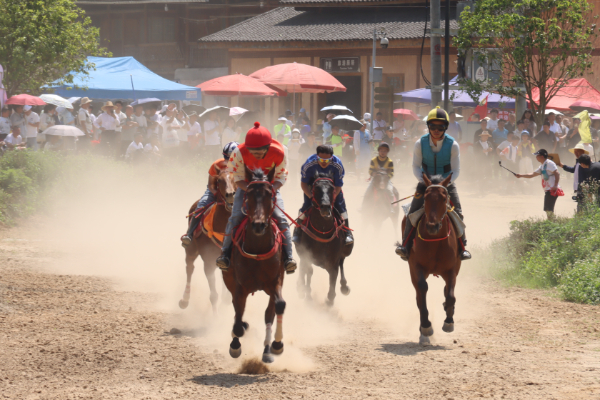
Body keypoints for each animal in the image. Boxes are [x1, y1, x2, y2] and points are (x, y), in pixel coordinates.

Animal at [178, 169, 236, 312]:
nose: (230, 195)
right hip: (191, 250)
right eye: (219, 180)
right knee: (189, 268)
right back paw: (184, 300)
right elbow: (213, 296)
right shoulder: (208, 263)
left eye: (235, 179)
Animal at [222, 168, 287, 364]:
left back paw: (267, 350)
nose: (259, 225)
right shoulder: (240, 286)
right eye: (249, 195)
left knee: (268, 314)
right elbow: (238, 316)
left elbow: (278, 306)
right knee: (237, 311)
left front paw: (276, 345)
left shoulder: (275, 281)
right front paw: (235, 345)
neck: (258, 248)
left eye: (270, 194)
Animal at [295, 172, 352, 306]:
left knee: (342, 264)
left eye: (332, 189)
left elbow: (333, 280)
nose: (325, 207)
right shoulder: (306, 254)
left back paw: (344, 287)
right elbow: (307, 270)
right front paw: (304, 291)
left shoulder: (333, 262)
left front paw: (329, 300)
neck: (322, 231)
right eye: (316, 188)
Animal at [401, 173, 462, 346]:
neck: (436, 241)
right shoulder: (416, 267)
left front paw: (449, 322)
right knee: (418, 296)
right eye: (425, 198)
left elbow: (450, 295)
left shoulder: (452, 270)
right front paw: (426, 327)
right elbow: (422, 292)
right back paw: (423, 333)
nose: (432, 226)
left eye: (444, 198)